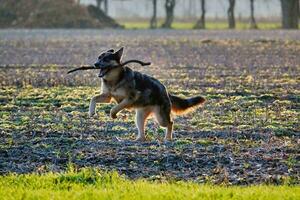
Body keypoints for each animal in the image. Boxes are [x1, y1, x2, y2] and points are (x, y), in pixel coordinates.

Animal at [68, 47, 204, 141]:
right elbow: (93, 98)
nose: (95, 64)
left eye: (105, 59)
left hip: (161, 118)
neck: (115, 79)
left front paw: (113, 115)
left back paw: (167, 138)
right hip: (139, 116)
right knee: (142, 130)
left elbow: (115, 107)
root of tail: (165, 90)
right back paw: (139, 139)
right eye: (98, 58)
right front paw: (91, 111)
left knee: (170, 123)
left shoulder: (130, 98)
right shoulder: (107, 96)